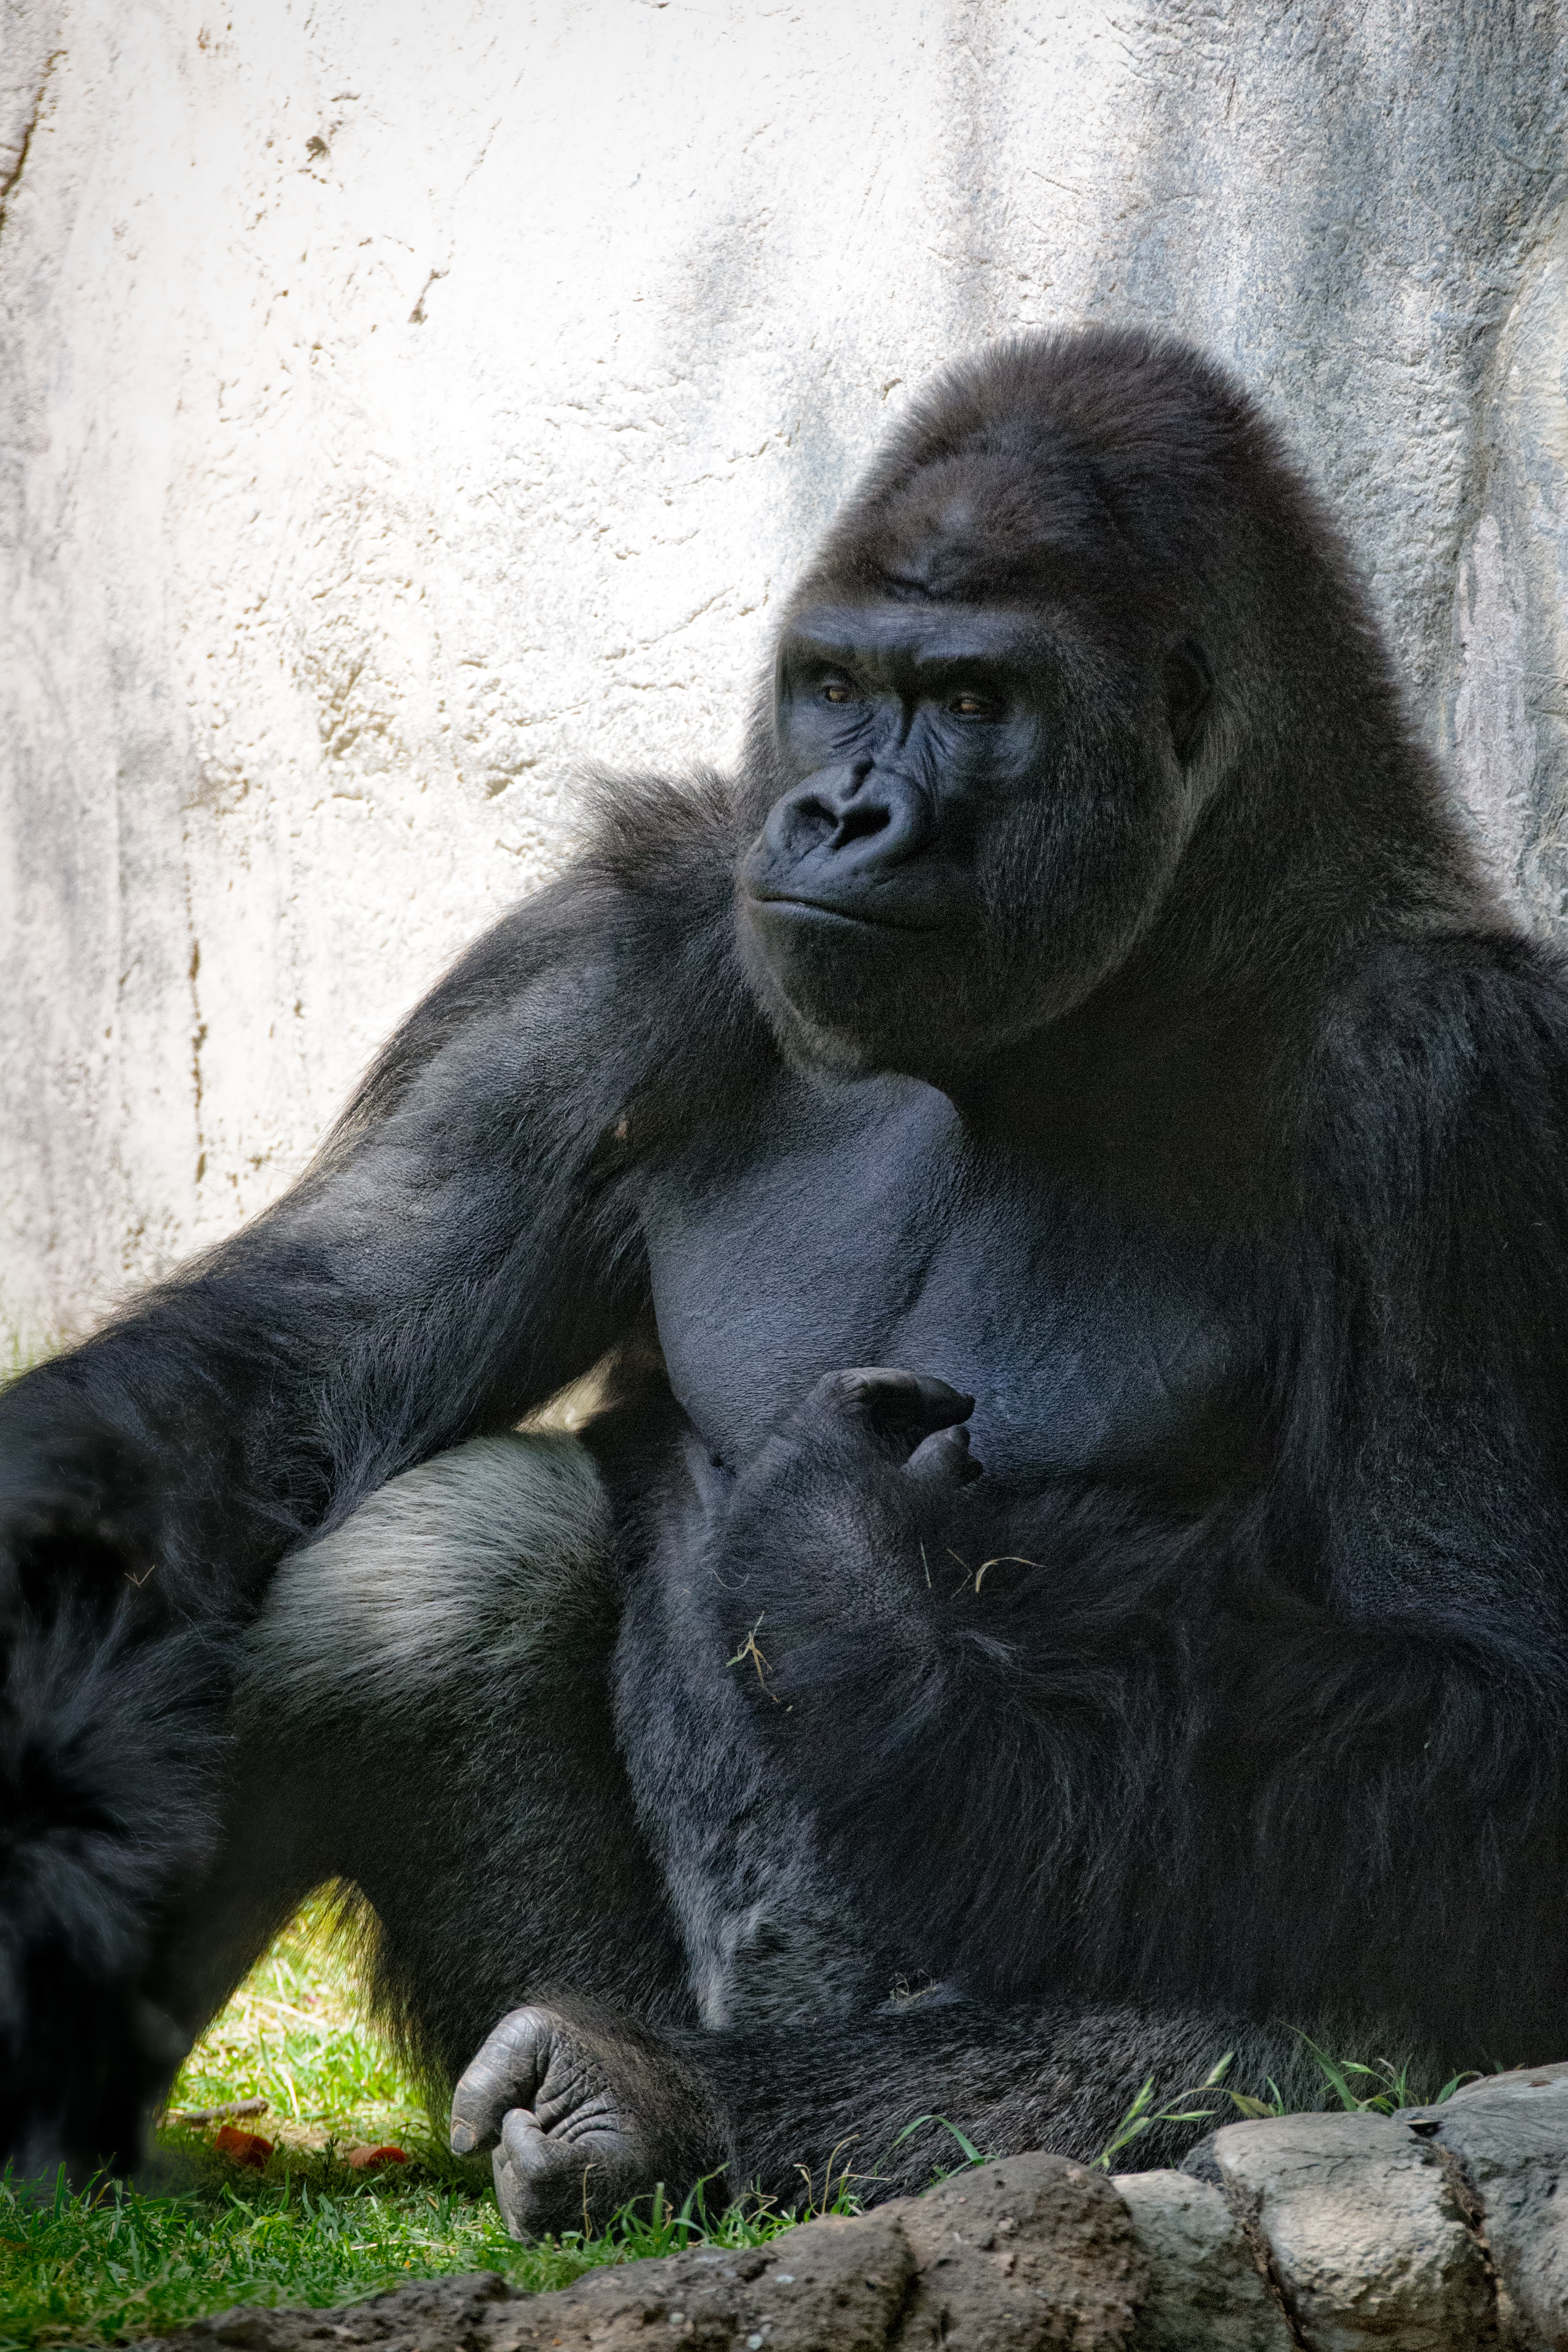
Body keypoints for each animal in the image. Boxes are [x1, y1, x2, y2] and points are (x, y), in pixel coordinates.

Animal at [3, 327, 1568, 2220]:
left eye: (971, 702)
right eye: (833, 683)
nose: (843, 812)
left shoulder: (1462, 1100)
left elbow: (1497, 1703)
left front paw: (858, 1582)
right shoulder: (641, 933)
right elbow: (290, 1354)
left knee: (1326, 2025)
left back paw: (659, 2111)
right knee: (430, 1567)